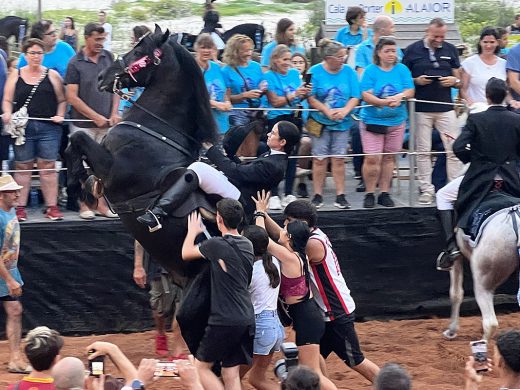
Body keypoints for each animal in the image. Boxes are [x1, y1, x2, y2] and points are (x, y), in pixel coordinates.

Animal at [65, 25, 219, 350]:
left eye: (139, 50)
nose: (102, 76)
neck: (154, 134)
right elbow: (77, 142)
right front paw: (86, 187)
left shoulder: (113, 170)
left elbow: (79, 138)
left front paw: (77, 183)